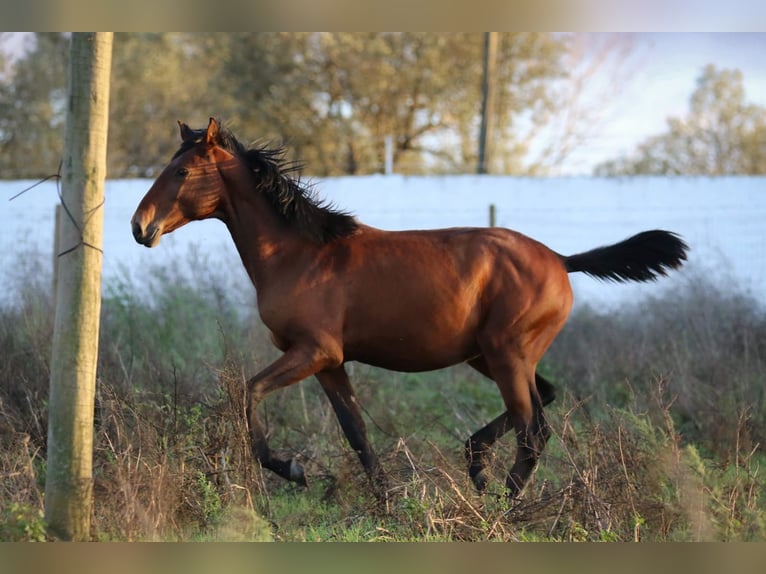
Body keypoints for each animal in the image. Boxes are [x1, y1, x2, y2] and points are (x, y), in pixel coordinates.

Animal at [132, 119, 688, 502]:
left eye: (182, 170)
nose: (141, 227)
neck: (300, 254)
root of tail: (560, 259)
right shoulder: (329, 362)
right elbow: (355, 432)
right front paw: (386, 501)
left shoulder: (313, 351)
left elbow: (248, 392)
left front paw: (291, 468)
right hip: (492, 356)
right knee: (542, 402)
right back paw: (477, 465)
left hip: (506, 355)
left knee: (534, 430)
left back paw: (504, 502)